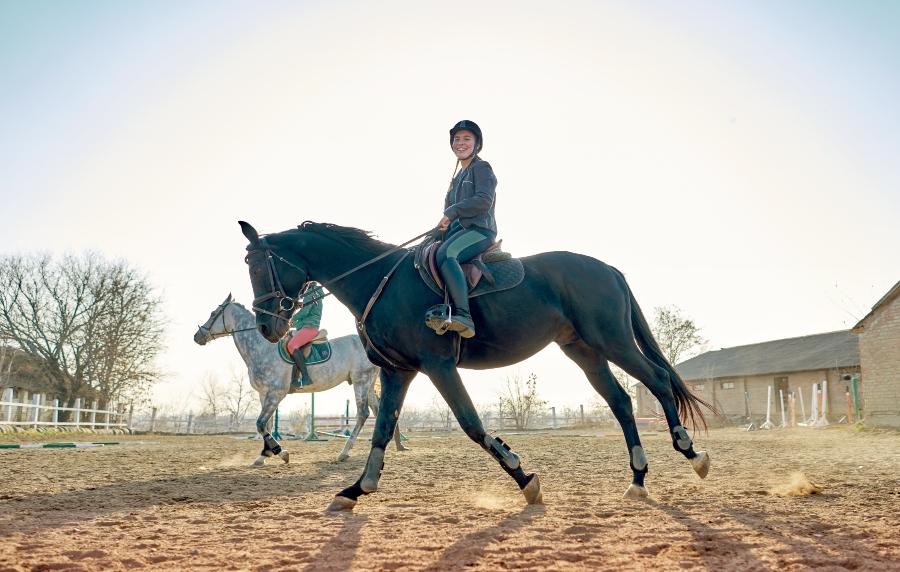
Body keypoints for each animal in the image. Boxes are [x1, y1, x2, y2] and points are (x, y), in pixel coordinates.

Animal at [197, 294, 408, 464]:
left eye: (213, 313)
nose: (197, 336)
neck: (261, 348)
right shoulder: (264, 394)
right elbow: (265, 424)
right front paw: (264, 455)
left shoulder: (276, 393)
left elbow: (260, 424)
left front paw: (280, 452)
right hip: (368, 384)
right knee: (378, 411)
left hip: (361, 381)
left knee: (363, 414)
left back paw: (343, 453)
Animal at [237, 221, 712, 512]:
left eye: (259, 265)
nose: (266, 326)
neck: (379, 282)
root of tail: (608, 268)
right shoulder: (398, 371)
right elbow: (382, 429)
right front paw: (356, 489)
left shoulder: (438, 366)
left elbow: (471, 424)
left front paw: (524, 477)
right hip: (585, 351)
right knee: (620, 402)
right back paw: (638, 478)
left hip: (611, 340)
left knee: (657, 382)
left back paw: (692, 454)